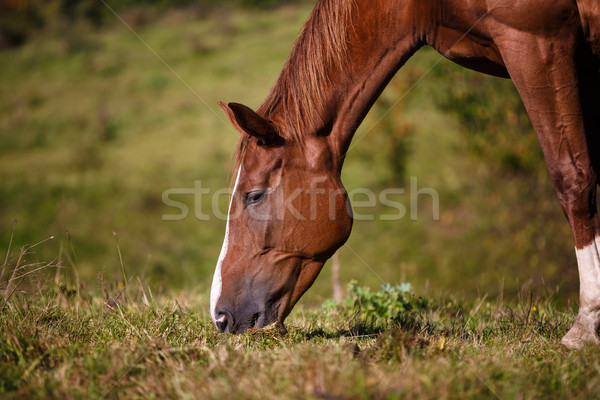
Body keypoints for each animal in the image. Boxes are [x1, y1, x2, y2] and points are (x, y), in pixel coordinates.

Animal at [210, 0, 600, 346]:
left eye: (254, 195)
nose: (219, 316)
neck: (420, 5)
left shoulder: (538, 42)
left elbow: (572, 178)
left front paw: (585, 326)